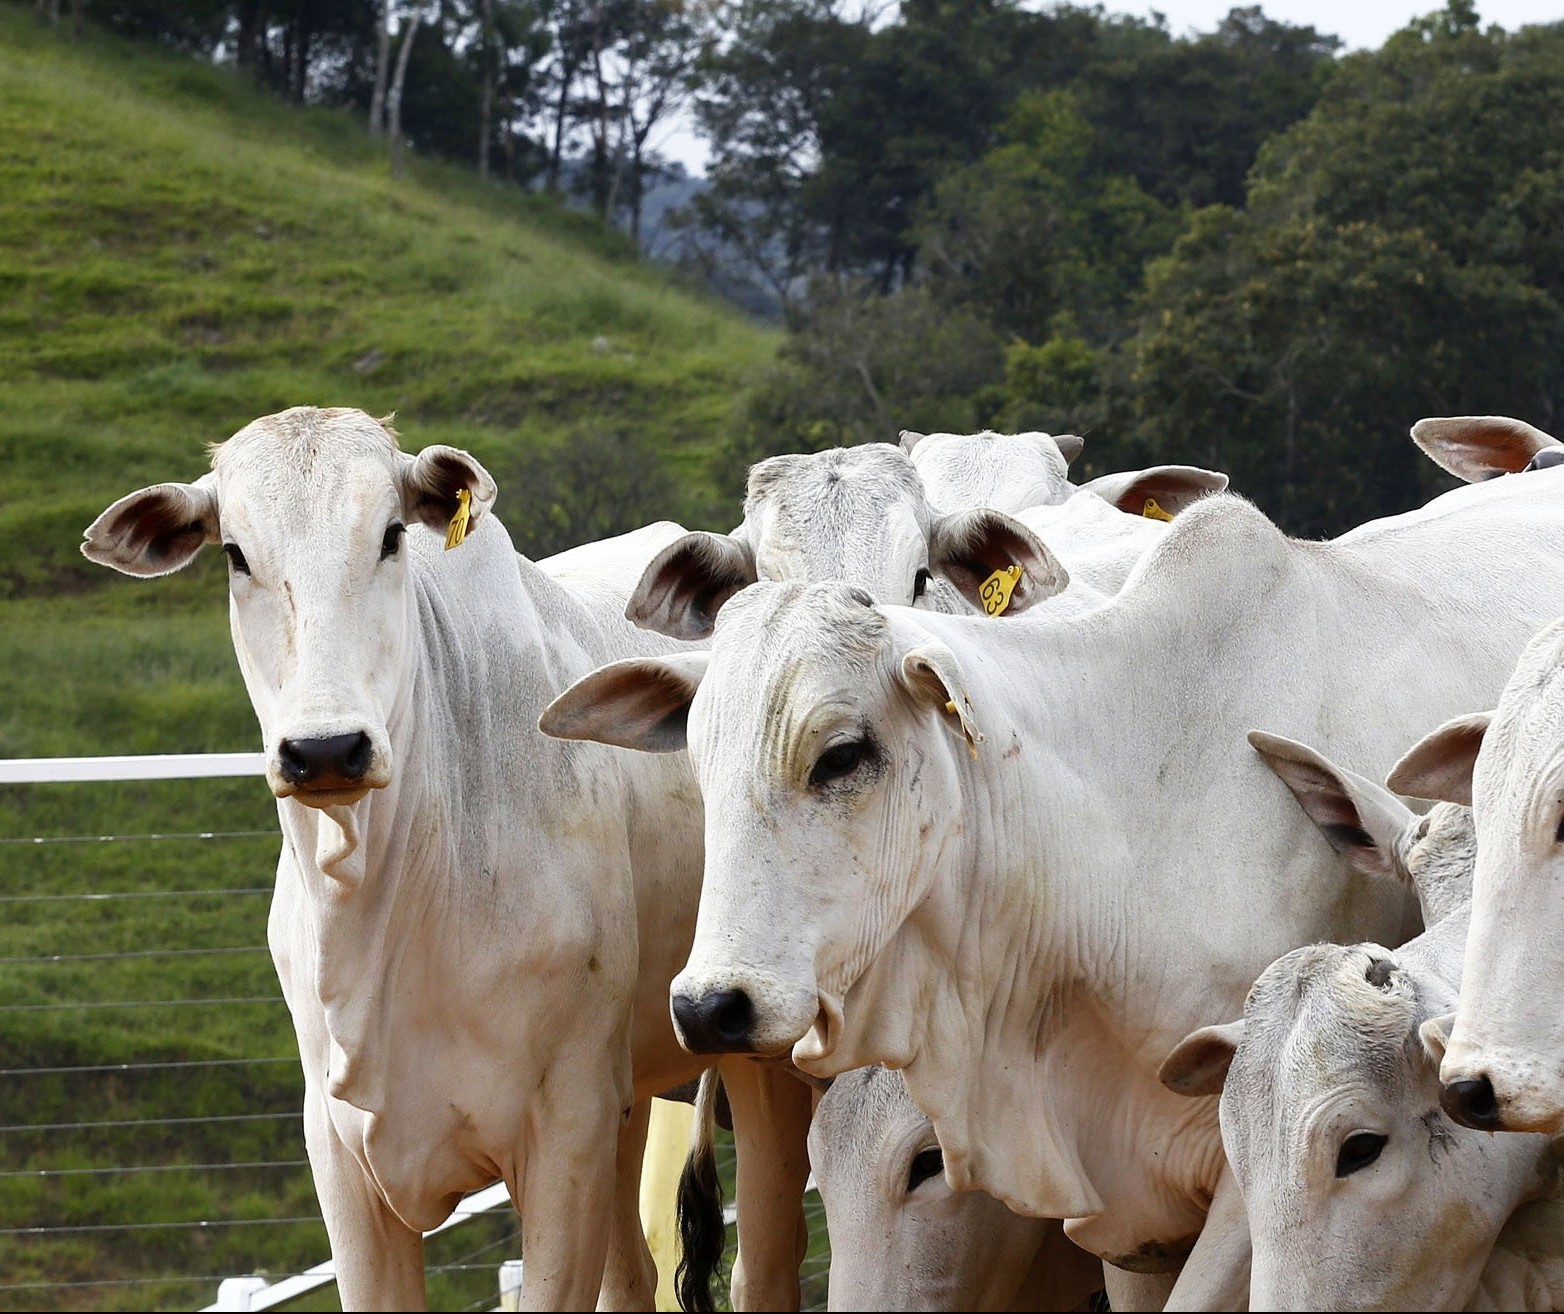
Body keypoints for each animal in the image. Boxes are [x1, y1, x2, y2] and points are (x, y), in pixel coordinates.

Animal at [79, 406, 813, 1307]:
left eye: (391, 534)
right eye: (235, 553)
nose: (326, 750)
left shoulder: (563, 1137)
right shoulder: (344, 1162)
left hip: (754, 1065)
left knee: (766, 1260)